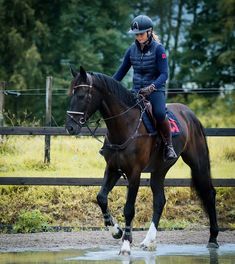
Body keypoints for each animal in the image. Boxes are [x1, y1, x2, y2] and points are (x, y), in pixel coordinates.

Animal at [65, 66, 219, 256]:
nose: (70, 127)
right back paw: (148, 241)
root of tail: (189, 114)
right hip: (159, 170)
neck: (125, 125)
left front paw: (125, 244)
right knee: (160, 200)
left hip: (198, 164)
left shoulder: (134, 173)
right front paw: (116, 231)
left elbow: (129, 209)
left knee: (209, 193)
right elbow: (101, 197)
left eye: (82, 95)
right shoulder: (113, 169)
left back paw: (213, 239)